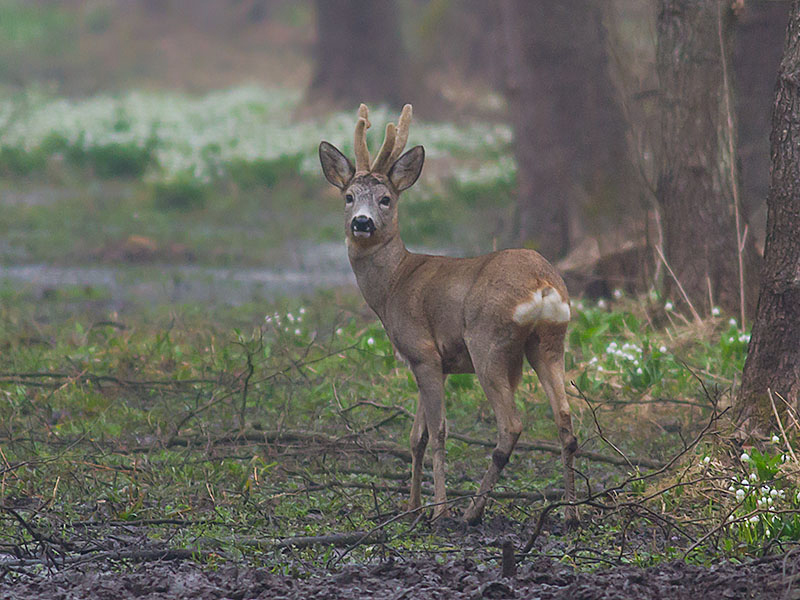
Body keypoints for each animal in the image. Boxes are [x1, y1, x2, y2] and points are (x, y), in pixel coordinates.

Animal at [320, 103, 580, 524]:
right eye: (348, 196)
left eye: (386, 198)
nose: (362, 223)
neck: (394, 284)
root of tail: (542, 283)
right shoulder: (430, 362)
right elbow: (416, 437)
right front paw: (411, 506)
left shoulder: (422, 350)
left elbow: (439, 431)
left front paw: (437, 509)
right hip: (549, 341)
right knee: (566, 419)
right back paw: (571, 513)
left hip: (488, 342)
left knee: (511, 424)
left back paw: (471, 511)